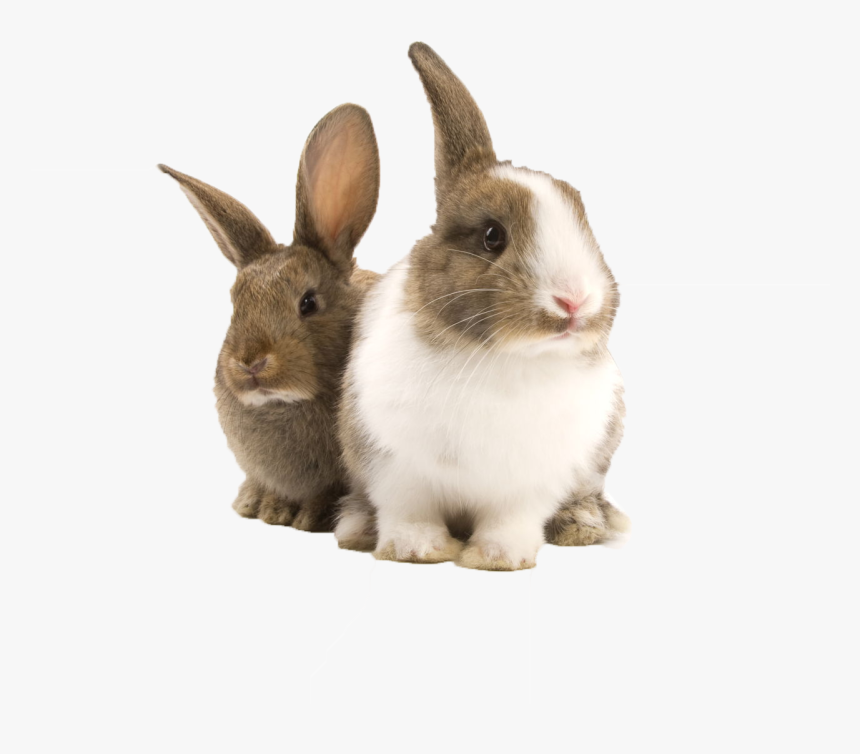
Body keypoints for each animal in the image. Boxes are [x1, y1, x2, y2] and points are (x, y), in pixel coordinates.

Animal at [335, 44, 630, 568]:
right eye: (493, 236)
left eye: (586, 224)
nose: (575, 300)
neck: (502, 359)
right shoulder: (394, 468)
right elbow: (409, 512)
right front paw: (416, 550)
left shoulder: (529, 483)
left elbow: (511, 520)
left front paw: (499, 557)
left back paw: (581, 525)